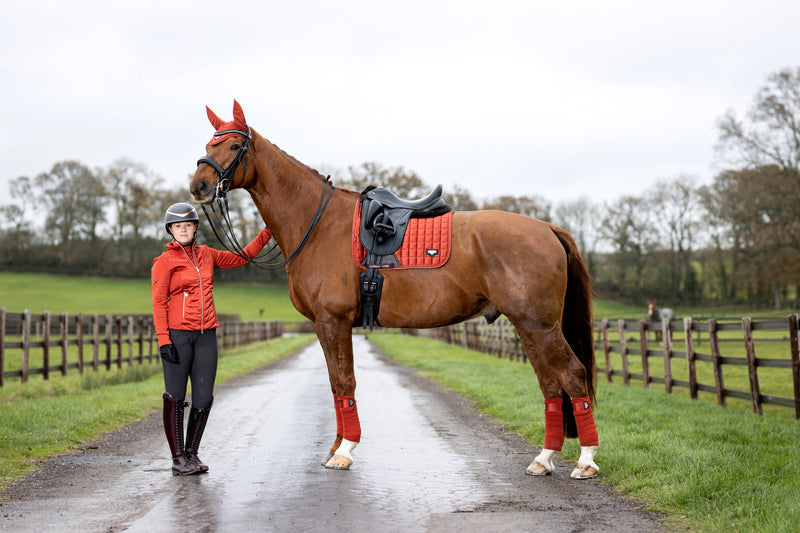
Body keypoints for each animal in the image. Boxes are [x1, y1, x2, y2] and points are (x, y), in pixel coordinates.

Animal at [189, 98, 600, 478]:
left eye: (233, 145)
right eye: (208, 144)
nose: (199, 187)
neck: (319, 224)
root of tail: (547, 228)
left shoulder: (334, 322)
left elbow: (345, 382)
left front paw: (345, 450)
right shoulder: (323, 326)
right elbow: (336, 386)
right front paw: (336, 446)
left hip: (540, 326)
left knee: (573, 376)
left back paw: (586, 461)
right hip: (528, 327)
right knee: (550, 386)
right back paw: (543, 459)